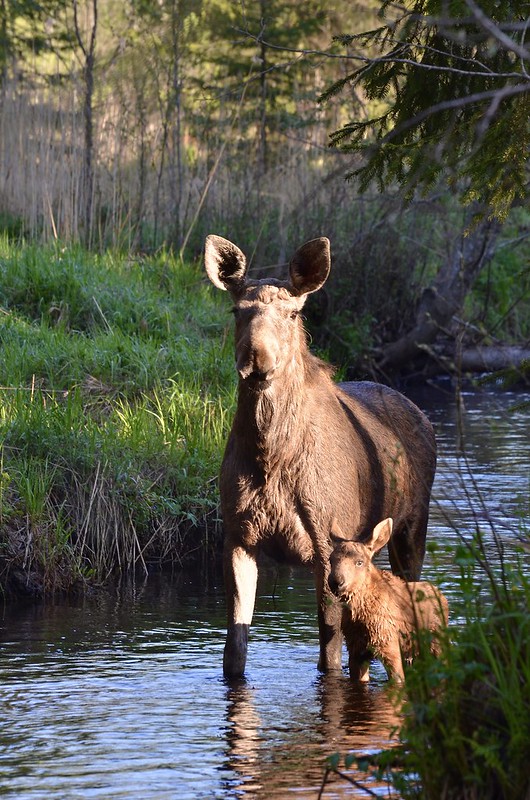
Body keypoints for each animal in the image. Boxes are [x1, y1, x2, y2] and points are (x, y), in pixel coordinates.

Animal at [202, 234, 434, 680]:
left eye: (293, 313)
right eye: (238, 310)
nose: (256, 358)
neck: (270, 458)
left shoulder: (326, 544)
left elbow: (329, 652)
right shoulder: (237, 537)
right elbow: (234, 648)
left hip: (413, 527)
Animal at [328, 520, 448, 680]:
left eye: (359, 562)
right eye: (331, 560)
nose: (336, 582)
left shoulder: (389, 647)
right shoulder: (356, 650)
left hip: (437, 645)